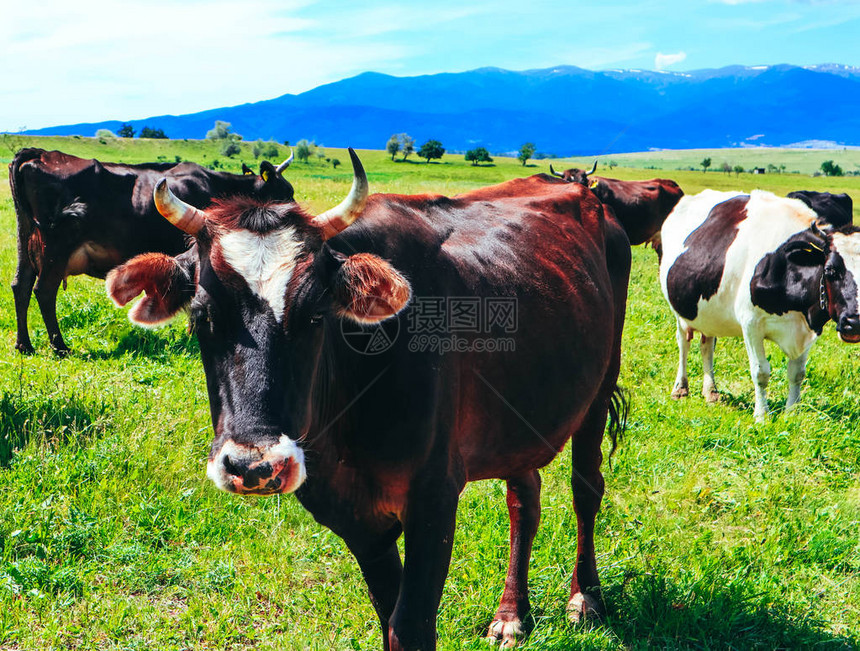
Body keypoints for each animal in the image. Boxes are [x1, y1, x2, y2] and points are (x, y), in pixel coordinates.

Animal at [10, 147, 296, 354]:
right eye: (283, 191)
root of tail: (39, 153)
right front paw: (196, 333)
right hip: (55, 248)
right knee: (43, 291)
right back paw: (59, 347)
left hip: (26, 241)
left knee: (20, 286)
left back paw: (25, 345)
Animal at [660, 188, 860, 422]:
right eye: (830, 271)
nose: (854, 323)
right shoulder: (751, 324)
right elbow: (760, 371)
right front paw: (761, 416)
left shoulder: (809, 328)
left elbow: (797, 373)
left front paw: (791, 413)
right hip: (681, 310)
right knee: (683, 342)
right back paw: (680, 389)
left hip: (707, 313)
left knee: (707, 344)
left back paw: (711, 392)